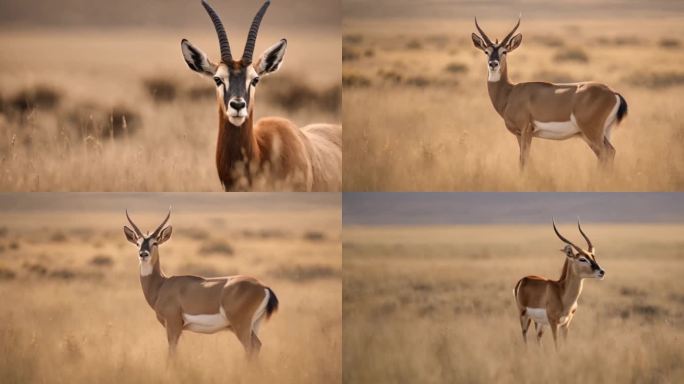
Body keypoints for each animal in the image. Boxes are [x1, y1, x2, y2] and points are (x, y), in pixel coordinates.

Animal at [123, 208, 278, 358]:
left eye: (155, 242)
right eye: (137, 243)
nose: (143, 254)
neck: (162, 285)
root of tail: (264, 287)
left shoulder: (173, 325)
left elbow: (172, 353)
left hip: (241, 326)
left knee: (250, 348)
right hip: (253, 326)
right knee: (257, 346)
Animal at [472, 17, 628, 168]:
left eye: (504, 51)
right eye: (486, 51)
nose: (493, 64)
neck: (510, 93)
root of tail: (613, 93)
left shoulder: (526, 131)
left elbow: (524, 160)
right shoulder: (518, 134)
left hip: (591, 133)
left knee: (605, 153)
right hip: (599, 134)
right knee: (610, 153)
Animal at [512, 219, 604, 348]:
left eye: (593, 256)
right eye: (582, 259)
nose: (601, 272)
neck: (561, 293)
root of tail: (523, 279)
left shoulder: (566, 324)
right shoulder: (553, 323)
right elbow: (557, 345)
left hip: (539, 323)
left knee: (538, 337)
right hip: (524, 316)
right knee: (524, 336)